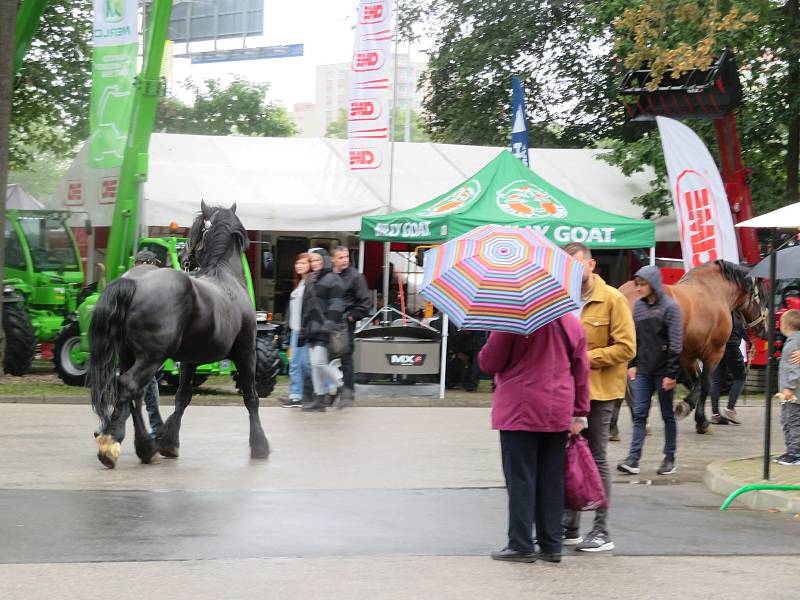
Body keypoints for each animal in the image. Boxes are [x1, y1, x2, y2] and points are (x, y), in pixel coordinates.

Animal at [89, 202, 268, 468]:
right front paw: (260, 445)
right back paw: (112, 443)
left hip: (129, 354)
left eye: (194, 230)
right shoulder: (246, 353)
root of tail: (134, 283)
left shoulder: (190, 360)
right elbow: (251, 398)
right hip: (152, 357)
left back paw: (144, 447)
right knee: (129, 386)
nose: (185, 258)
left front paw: (169, 441)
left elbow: (182, 396)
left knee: (135, 394)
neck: (226, 277)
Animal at [620, 260, 768, 434]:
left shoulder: (688, 357)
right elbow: (705, 385)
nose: (764, 330)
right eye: (762, 297)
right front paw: (697, 417)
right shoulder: (714, 353)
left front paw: (697, 414)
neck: (714, 291)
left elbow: (696, 382)